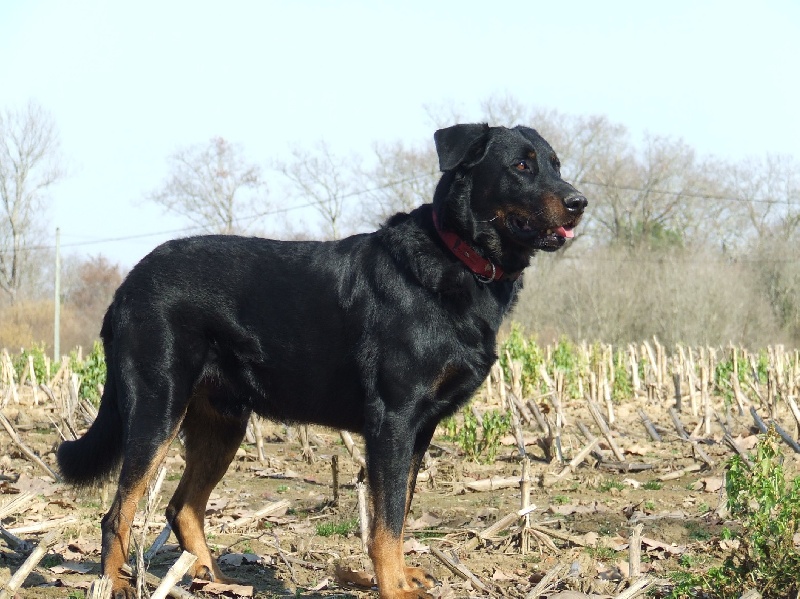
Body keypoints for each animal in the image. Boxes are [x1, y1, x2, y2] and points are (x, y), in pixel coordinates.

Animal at [56, 123, 584, 599]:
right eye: (521, 167)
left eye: (556, 165)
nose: (579, 202)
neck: (460, 261)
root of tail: (125, 287)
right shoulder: (393, 421)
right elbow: (386, 521)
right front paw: (394, 587)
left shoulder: (420, 429)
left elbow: (401, 509)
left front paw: (401, 576)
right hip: (157, 408)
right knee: (117, 514)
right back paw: (115, 584)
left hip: (222, 423)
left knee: (183, 507)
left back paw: (217, 582)